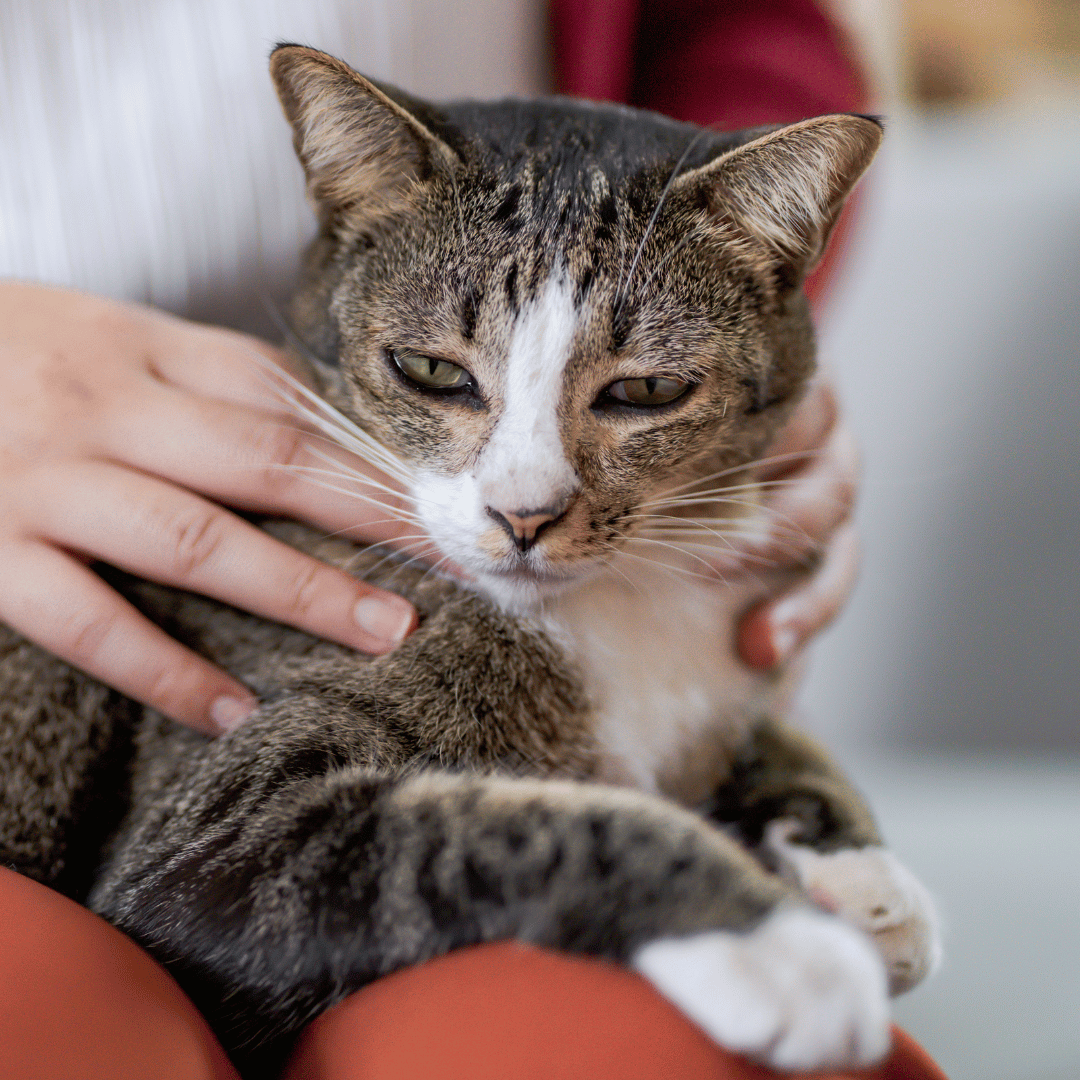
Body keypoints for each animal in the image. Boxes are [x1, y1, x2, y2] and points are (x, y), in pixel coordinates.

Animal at [0, 44, 937, 1080]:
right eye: (432, 371)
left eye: (648, 391)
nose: (523, 515)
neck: (611, 605)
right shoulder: (216, 845)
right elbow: (514, 829)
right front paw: (777, 943)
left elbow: (774, 734)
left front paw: (864, 875)